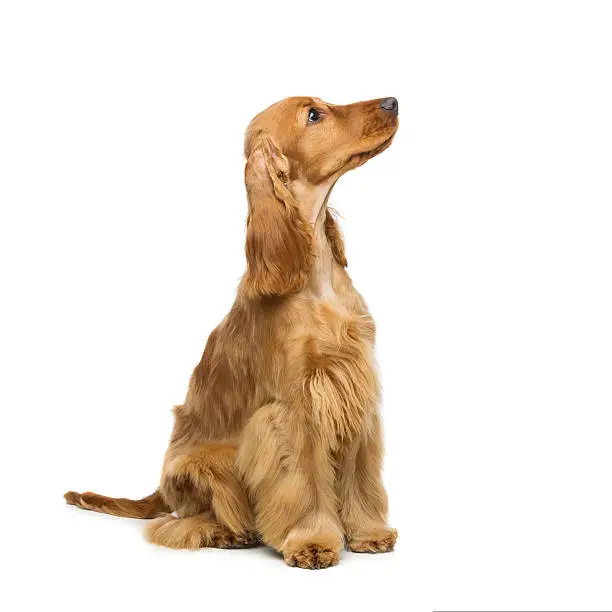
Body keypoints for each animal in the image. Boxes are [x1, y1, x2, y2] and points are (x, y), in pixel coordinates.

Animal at [67, 95, 400, 568]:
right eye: (313, 115)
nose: (392, 102)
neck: (314, 277)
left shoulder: (352, 392)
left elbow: (360, 475)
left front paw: (368, 532)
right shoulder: (294, 409)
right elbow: (304, 482)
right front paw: (312, 541)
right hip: (211, 461)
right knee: (178, 522)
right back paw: (228, 533)